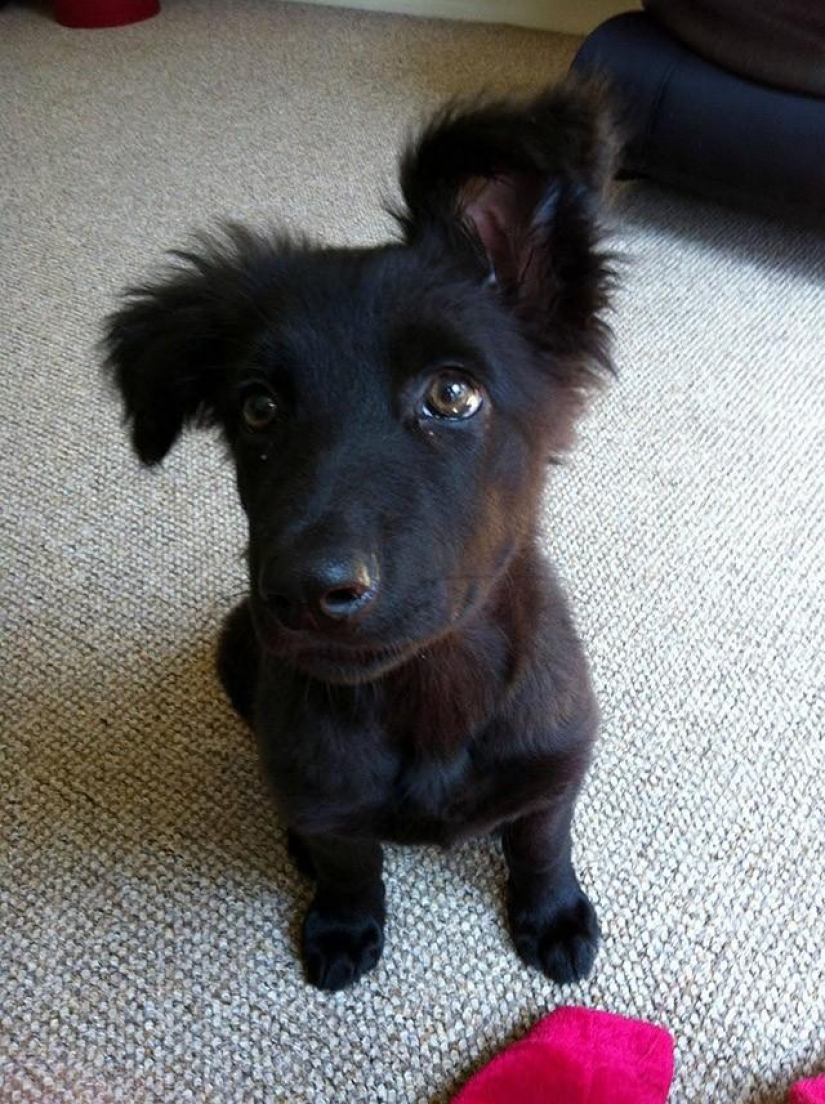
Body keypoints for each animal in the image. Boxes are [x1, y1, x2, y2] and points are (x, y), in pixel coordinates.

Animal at [103, 80, 618, 993]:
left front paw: (553, 913)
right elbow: (350, 864)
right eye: (258, 409)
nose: (305, 591)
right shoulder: (324, 795)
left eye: (452, 393)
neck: (429, 692)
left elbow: (540, 844)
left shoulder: (554, 768)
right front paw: (342, 923)